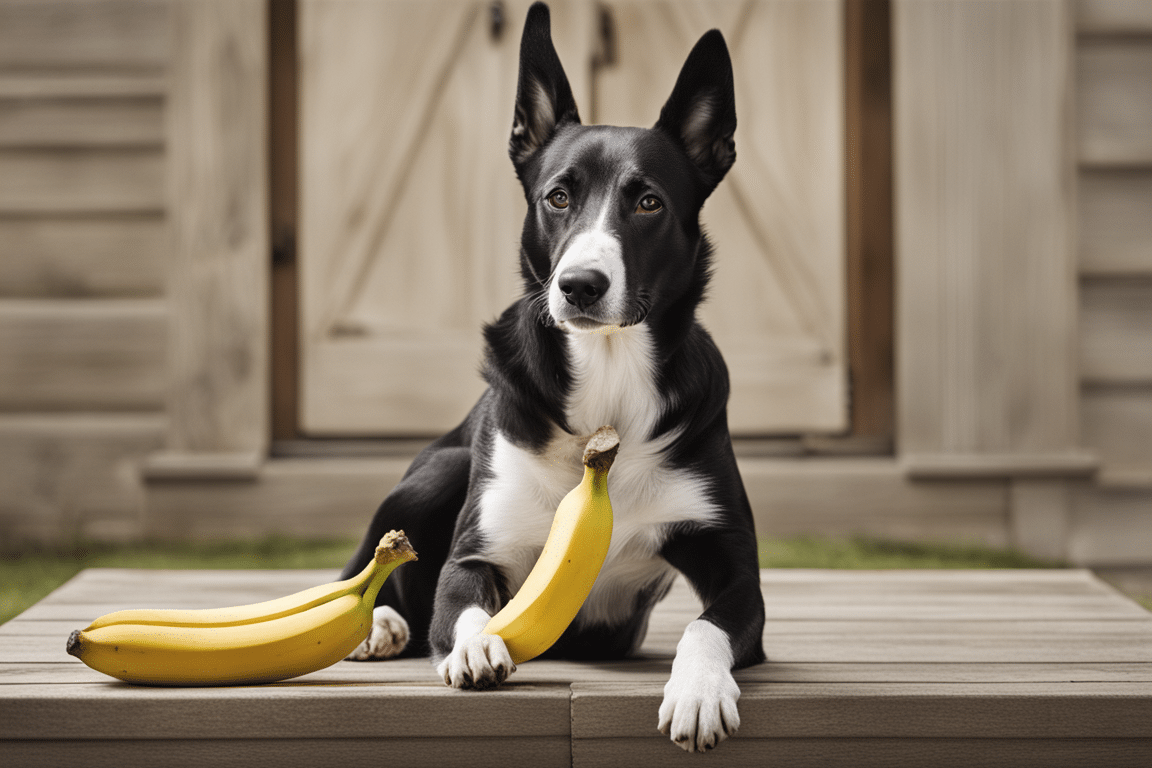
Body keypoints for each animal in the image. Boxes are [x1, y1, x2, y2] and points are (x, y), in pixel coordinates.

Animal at [338, 3, 764, 755]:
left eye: (648, 203)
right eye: (558, 197)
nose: (580, 285)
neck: (608, 379)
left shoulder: (736, 567)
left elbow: (706, 623)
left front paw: (700, 689)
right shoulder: (473, 555)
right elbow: (460, 601)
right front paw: (475, 645)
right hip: (442, 467)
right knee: (367, 573)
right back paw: (378, 627)